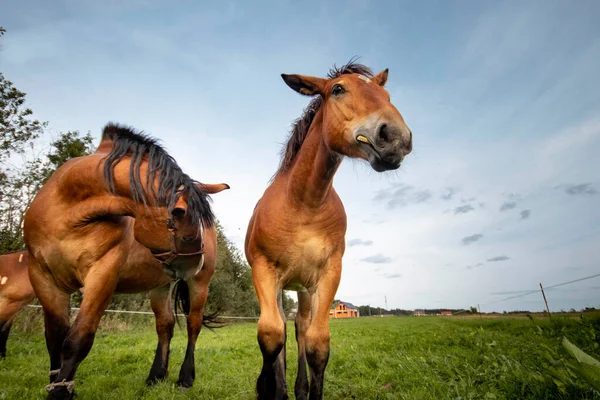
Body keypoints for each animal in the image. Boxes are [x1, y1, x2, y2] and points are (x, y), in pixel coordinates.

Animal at [23, 123, 227, 398]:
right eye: (179, 212)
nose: (195, 262)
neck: (66, 211)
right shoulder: (43, 278)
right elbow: (55, 339)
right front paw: (60, 385)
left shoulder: (102, 275)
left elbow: (78, 339)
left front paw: (61, 392)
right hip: (161, 286)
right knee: (165, 325)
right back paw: (156, 376)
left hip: (200, 285)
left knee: (193, 325)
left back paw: (185, 379)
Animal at [244, 60, 412, 400]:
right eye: (338, 89)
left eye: (387, 95)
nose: (396, 136)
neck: (304, 203)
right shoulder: (263, 270)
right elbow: (270, 334)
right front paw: (268, 388)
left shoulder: (328, 273)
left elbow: (317, 344)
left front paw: (304, 389)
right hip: (280, 285)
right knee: (283, 327)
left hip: (304, 288)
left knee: (300, 327)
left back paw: (297, 387)